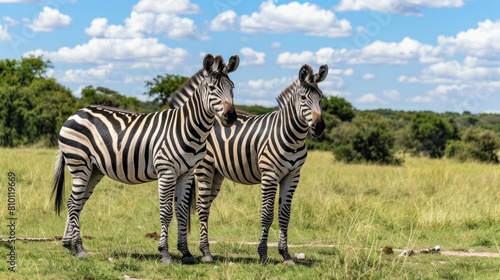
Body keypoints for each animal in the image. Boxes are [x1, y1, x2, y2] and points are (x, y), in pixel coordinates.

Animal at [51, 53, 239, 264]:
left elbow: (182, 212)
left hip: (94, 169)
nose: (231, 117)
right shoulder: (167, 171)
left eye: (232, 88)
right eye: (212, 88)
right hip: (79, 163)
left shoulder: (187, 173)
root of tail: (75, 113)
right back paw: (80, 248)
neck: (187, 127)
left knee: (77, 203)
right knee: (73, 203)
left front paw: (186, 253)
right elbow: (166, 212)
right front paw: (165, 253)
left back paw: (71, 245)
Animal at [170, 64, 330, 264]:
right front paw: (263, 254)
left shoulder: (293, 176)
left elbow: (285, 216)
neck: (292, 136)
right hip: (204, 167)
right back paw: (206, 252)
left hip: (217, 173)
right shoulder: (270, 175)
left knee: (204, 206)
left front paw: (286, 255)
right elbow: (267, 215)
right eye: (303, 98)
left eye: (321, 98)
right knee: (201, 207)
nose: (319, 126)